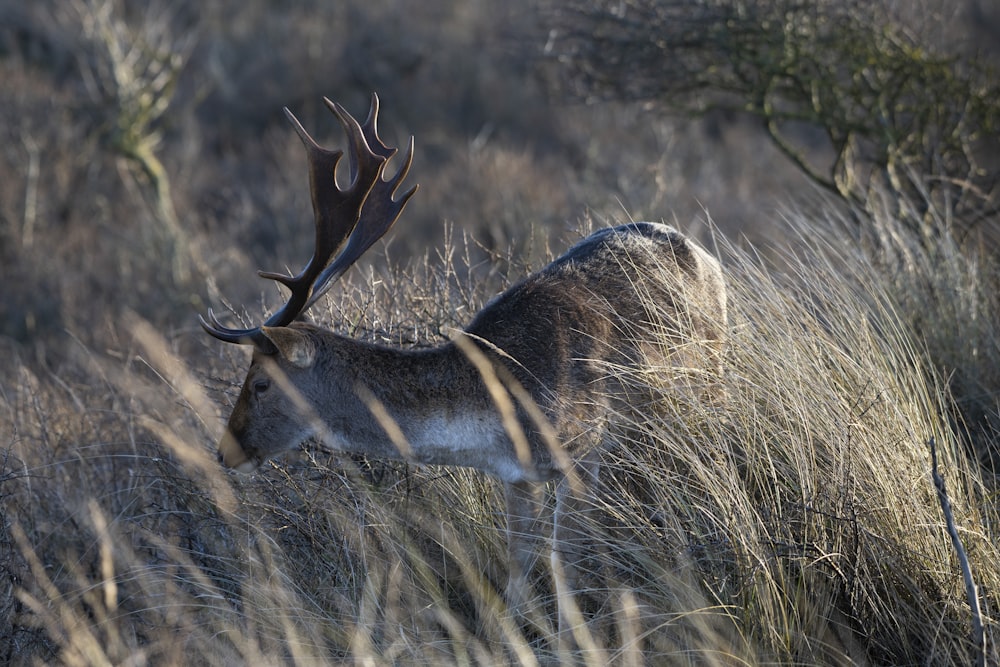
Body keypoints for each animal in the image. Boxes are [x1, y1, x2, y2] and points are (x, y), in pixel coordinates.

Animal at [201, 94, 728, 640]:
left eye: (260, 383)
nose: (225, 450)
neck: (503, 409)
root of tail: (705, 252)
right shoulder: (515, 475)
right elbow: (518, 562)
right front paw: (509, 636)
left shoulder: (582, 451)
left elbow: (565, 562)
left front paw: (575, 639)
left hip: (710, 379)